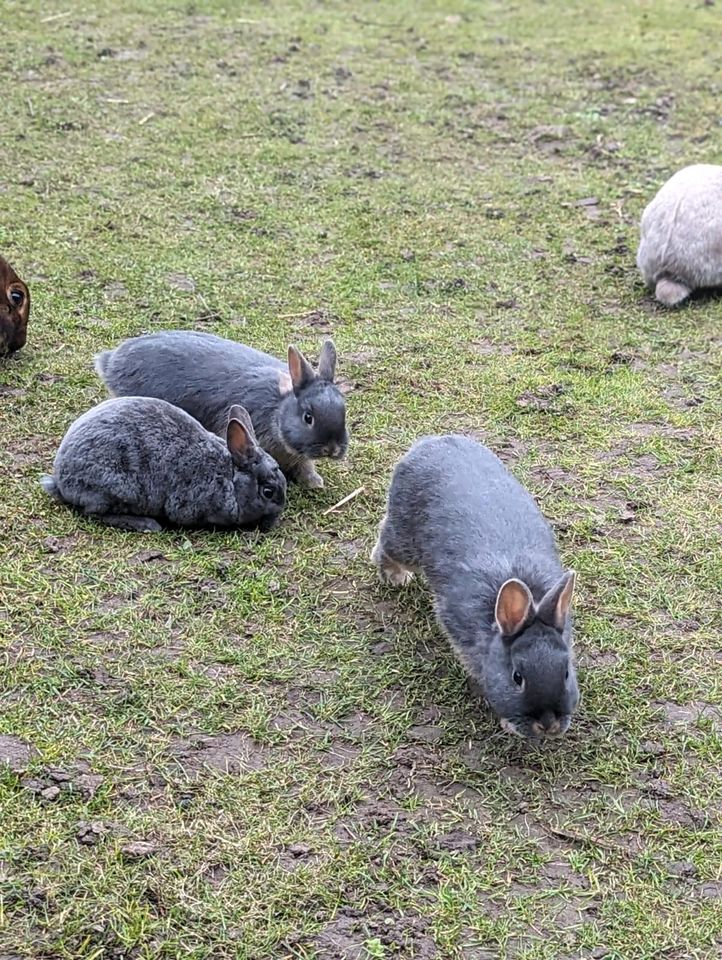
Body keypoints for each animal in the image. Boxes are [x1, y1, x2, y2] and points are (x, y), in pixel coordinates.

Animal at [40, 396, 284, 532]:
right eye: (268, 492)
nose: (274, 521)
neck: (229, 478)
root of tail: (60, 480)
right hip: (113, 488)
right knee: (93, 512)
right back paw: (147, 525)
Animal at [94, 334, 348, 492]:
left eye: (344, 409)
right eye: (308, 417)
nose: (333, 449)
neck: (278, 409)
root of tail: (111, 362)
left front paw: (314, 482)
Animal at [372, 436, 580, 744]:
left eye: (566, 673)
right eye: (517, 677)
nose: (548, 724)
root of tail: (429, 443)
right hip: (405, 539)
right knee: (387, 538)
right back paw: (395, 575)